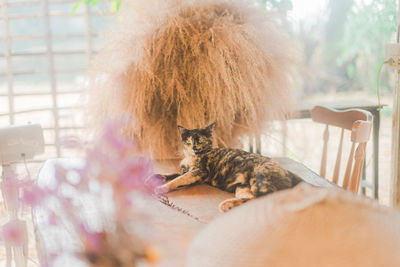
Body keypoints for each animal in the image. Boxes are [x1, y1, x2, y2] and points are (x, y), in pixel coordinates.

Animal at [155, 122, 304, 213]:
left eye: (201, 140)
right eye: (188, 141)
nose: (194, 148)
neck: (190, 158)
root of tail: (288, 172)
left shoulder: (199, 172)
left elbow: (177, 180)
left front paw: (161, 188)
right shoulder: (186, 171)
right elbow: (173, 174)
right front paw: (156, 177)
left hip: (260, 179)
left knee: (268, 198)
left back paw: (226, 205)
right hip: (242, 187)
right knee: (252, 199)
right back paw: (228, 205)